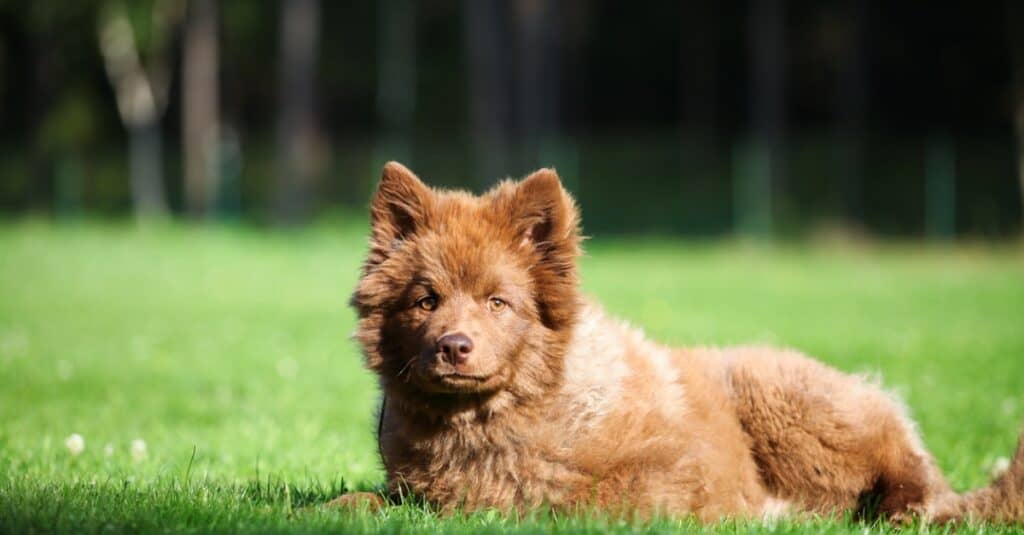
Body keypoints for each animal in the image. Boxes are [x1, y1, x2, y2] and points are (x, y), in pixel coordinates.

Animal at [331, 160, 1019, 520]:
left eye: (499, 302)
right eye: (426, 301)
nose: (454, 346)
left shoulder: (676, 470)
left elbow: (573, 497)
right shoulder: (408, 484)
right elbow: (366, 498)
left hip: (784, 397)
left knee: (915, 483)